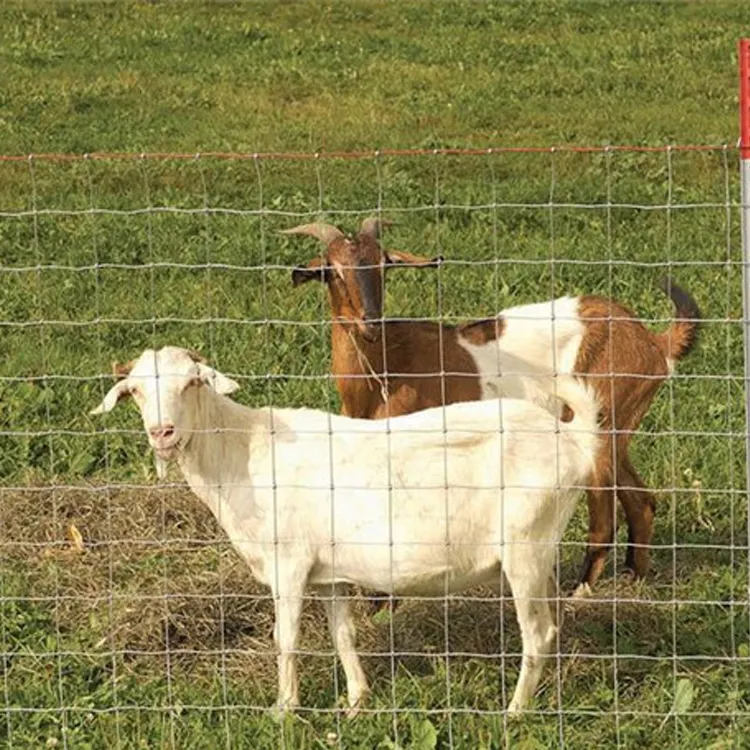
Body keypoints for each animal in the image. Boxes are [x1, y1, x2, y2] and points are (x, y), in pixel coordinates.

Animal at [91, 346, 604, 716]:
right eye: (135, 391)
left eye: (192, 383)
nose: (163, 433)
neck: (244, 452)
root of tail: (573, 440)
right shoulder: (329, 573)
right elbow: (343, 635)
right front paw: (357, 701)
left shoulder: (289, 564)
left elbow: (285, 637)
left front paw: (284, 709)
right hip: (540, 552)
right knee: (552, 622)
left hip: (524, 548)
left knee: (536, 631)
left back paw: (515, 713)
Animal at [284, 220, 704, 596]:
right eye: (332, 270)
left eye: (383, 264)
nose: (369, 321)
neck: (384, 370)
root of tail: (652, 342)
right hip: (620, 426)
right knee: (640, 499)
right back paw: (635, 578)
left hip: (601, 421)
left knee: (604, 514)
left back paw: (581, 592)